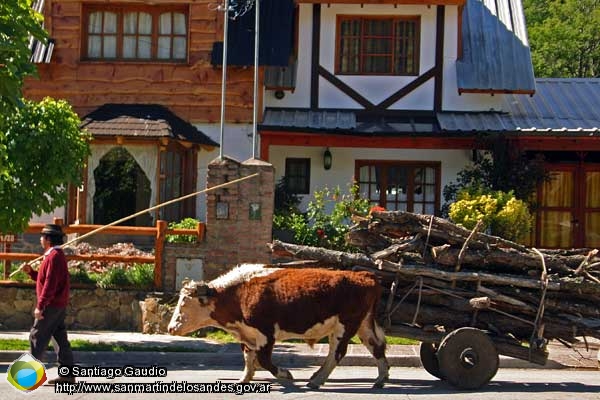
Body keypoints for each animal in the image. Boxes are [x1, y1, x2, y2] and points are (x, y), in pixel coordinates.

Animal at [168, 264, 390, 390]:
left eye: (185, 303)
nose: (170, 328)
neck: (239, 294)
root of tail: (364, 276)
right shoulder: (248, 334)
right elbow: (248, 357)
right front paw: (244, 379)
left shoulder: (265, 333)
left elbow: (264, 360)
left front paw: (285, 374)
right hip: (363, 325)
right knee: (376, 346)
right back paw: (380, 378)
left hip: (344, 327)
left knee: (336, 353)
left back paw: (317, 380)